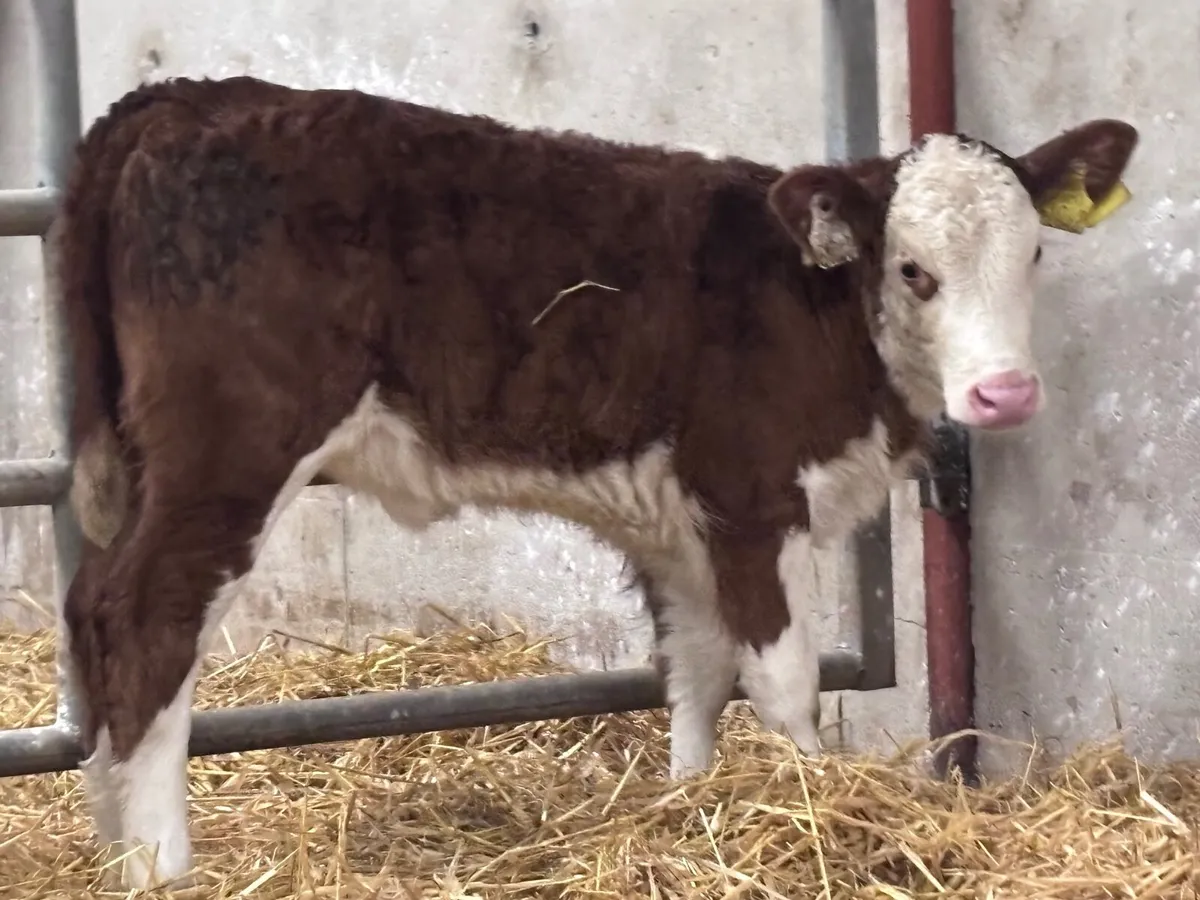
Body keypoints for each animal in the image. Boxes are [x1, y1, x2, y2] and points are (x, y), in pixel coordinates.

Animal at [51, 74, 1138, 889]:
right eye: (912, 270)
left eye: (1036, 253)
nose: (1005, 392)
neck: (816, 307)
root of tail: (179, 100)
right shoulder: (751, 496)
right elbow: (781, 678)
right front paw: (814, 810)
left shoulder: (681, 524)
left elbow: (695, 670)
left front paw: (692, 808)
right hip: (230, 454)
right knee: (143, 620)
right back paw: (160, 864)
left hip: (141, 465)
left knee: (89, 611)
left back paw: (108, 839)